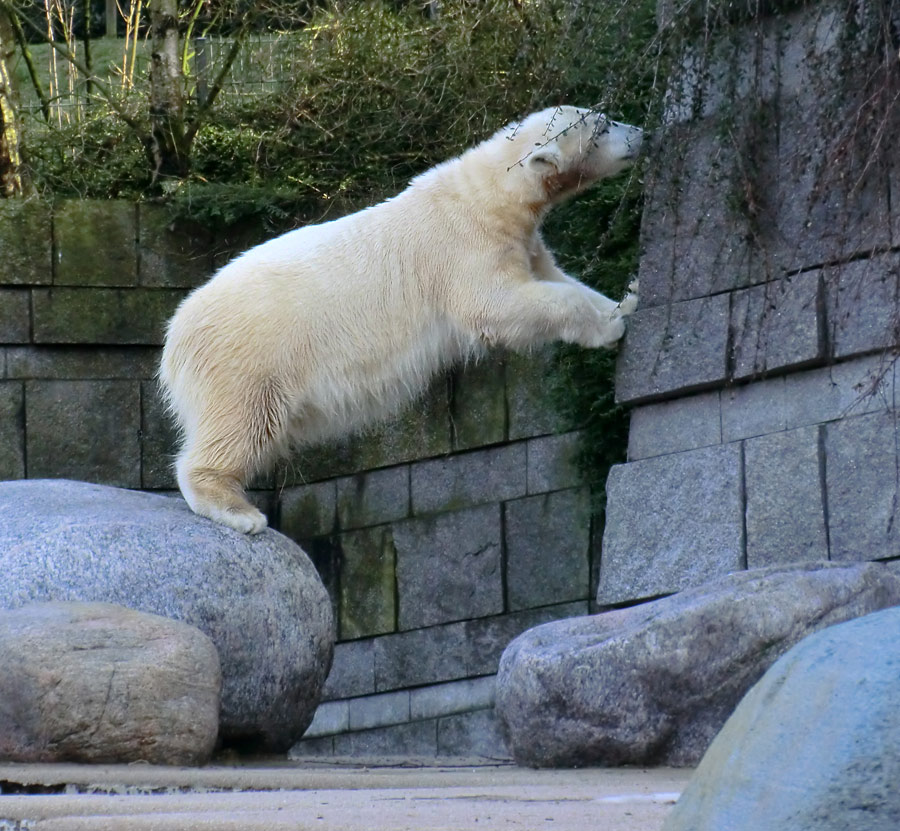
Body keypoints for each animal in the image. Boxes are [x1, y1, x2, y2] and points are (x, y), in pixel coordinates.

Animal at [160, 105, 640, 532]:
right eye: (602, 126)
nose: (639, 131)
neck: (488, 195)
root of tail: (173, 339)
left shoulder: (524, 243)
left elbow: (557, 278)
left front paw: (626, 300)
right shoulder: (465, 249)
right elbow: (498, 306)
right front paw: (611, 325)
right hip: (246, 359)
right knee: (241, 424)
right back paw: (236, 510)